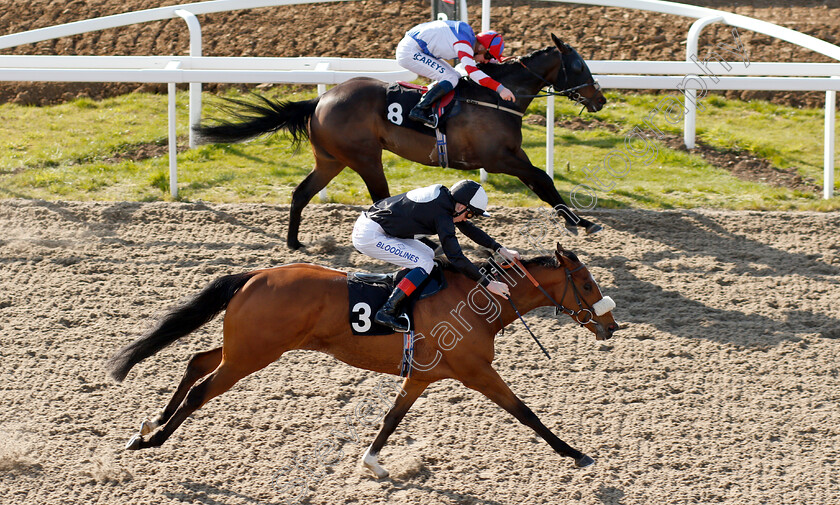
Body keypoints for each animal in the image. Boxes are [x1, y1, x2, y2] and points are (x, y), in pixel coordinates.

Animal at [106, 242, 616, 474]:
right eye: (587, 283)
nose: (611, 326)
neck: (478, 301)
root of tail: (255, 275)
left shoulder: (423, 376)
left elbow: (391, 417)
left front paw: (372, 461)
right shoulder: (477, 372)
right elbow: (526, 413)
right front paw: (575, 453)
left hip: (247, 346)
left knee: (196, 359)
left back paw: (148, 425)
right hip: (252, 354)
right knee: (200, 389)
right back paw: (151, 441)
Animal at [194, 34, 608, 249]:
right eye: (579, 66)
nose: (600, 99)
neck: (496, 99)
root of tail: (321, 100)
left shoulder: (510, 155)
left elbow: (542, 182)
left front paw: (577, 221)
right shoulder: (501, 158)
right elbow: (543, 179)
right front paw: (582, 222)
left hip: (331, 159)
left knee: (301, 193)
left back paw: (294, 243)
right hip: (365, 157)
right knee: (379, 198)